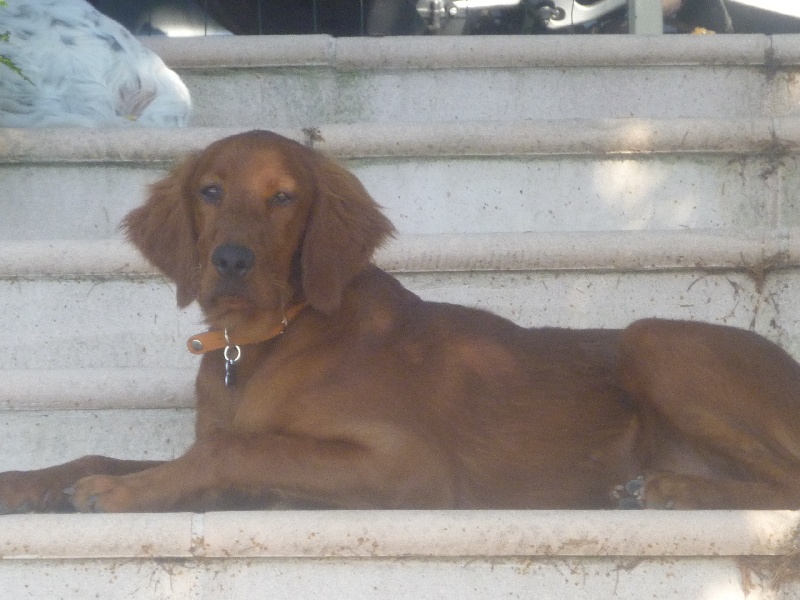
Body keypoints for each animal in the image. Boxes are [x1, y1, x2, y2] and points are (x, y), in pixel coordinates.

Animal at [1, 127, 800, 510]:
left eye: (285, 197)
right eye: (210, 190)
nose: (229, 260)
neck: (265, 340)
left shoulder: (410, 467)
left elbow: (237, 449)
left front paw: (117, 494)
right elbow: (114, 453)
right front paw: (31, 481)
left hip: (653, 341)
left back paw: (669, 491)